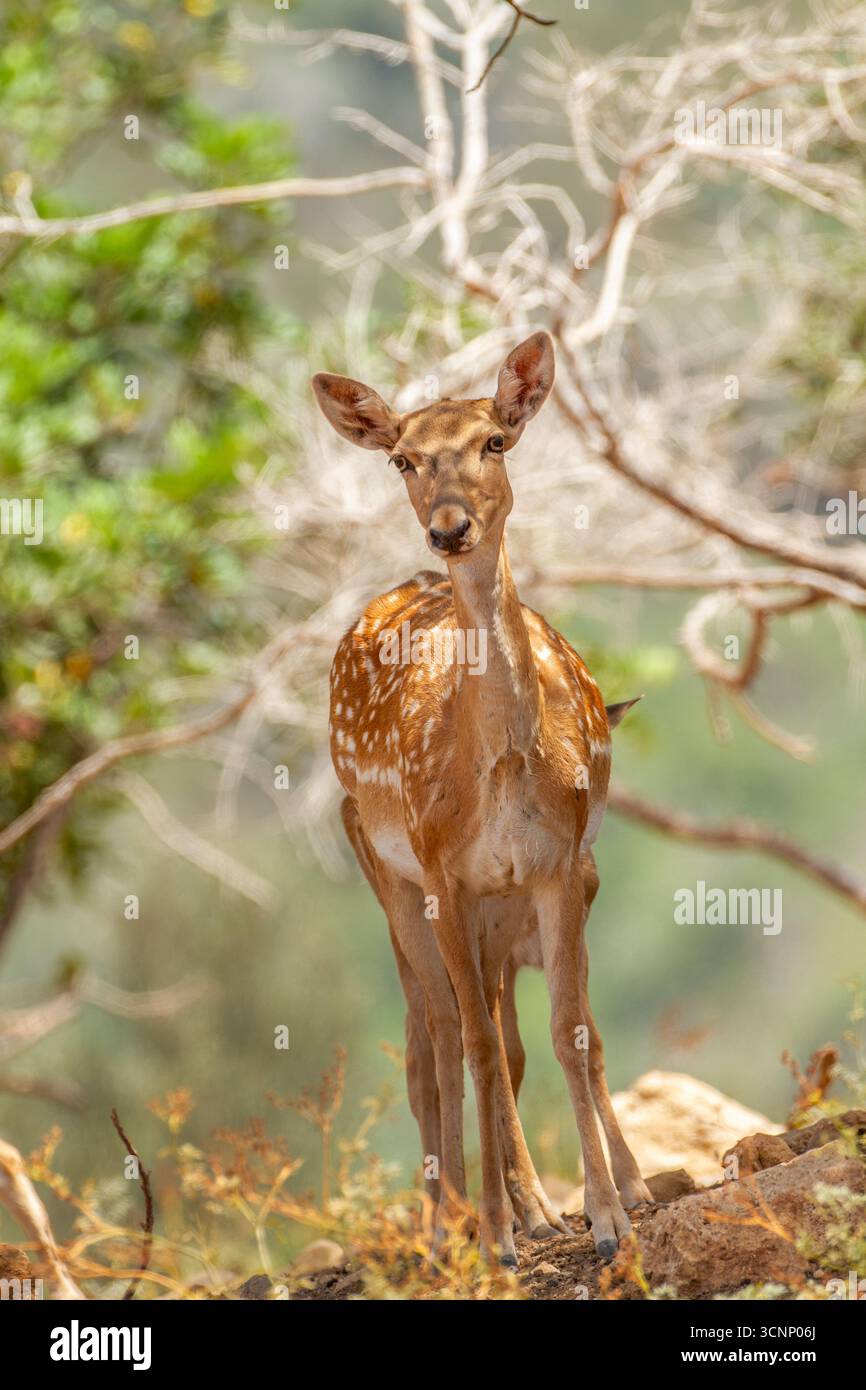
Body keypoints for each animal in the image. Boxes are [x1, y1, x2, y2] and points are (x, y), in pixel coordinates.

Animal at [314, 331, 651, 1266]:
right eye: (402, 458)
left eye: (494, 441)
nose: (450, 526)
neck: (496, 770)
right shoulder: (447, 876)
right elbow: (477, 1047)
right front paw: (502, 1235)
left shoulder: (555, 868)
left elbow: (569, 1036)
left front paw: (608, 1217)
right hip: (396, 879)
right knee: (433, 1036)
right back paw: (453, 1224)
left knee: (483, 1036)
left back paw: (513, 1210)